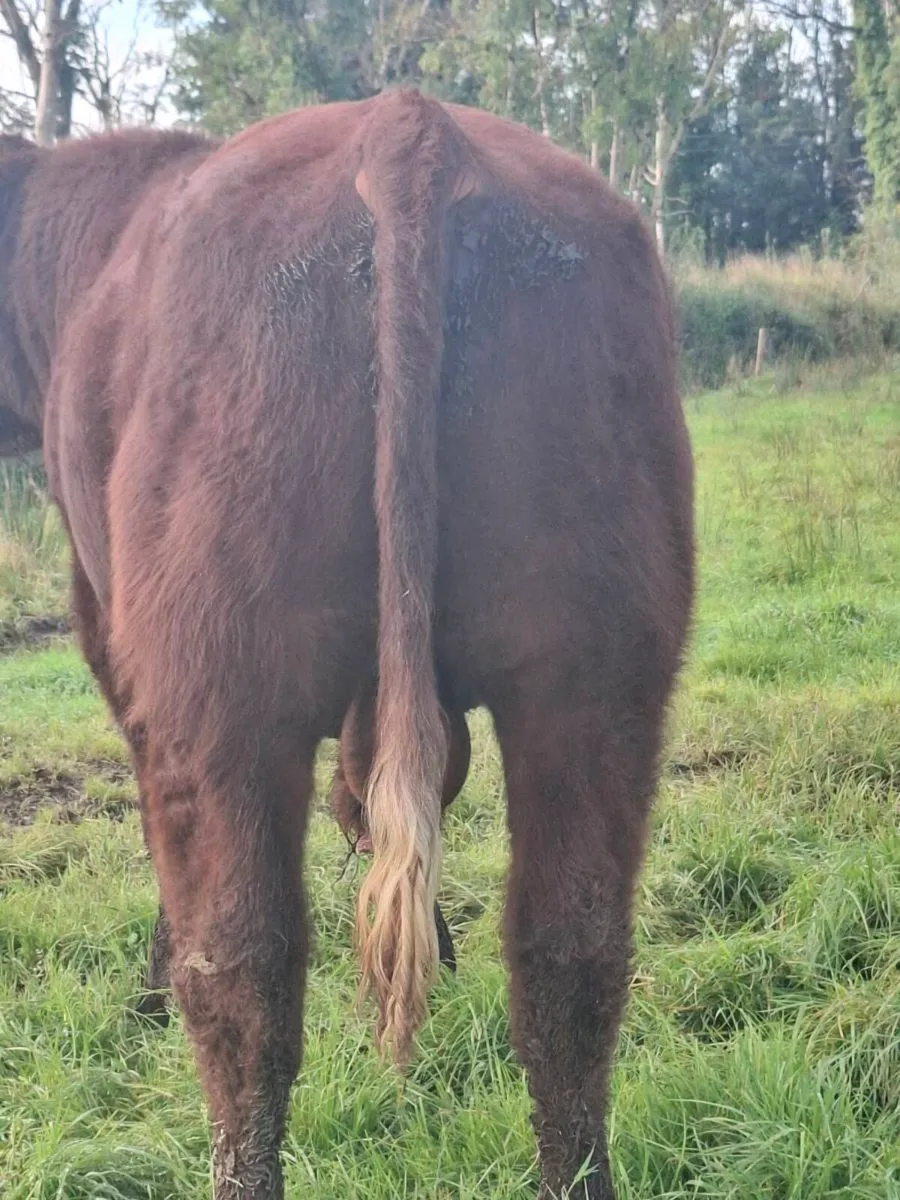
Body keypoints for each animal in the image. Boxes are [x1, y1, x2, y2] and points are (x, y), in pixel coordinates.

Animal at [0, 91, 694, 1199]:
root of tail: (407, 123)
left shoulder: (110, 634)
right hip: (596, 677)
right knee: (569, 954)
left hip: (221, 690)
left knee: (242, 971)